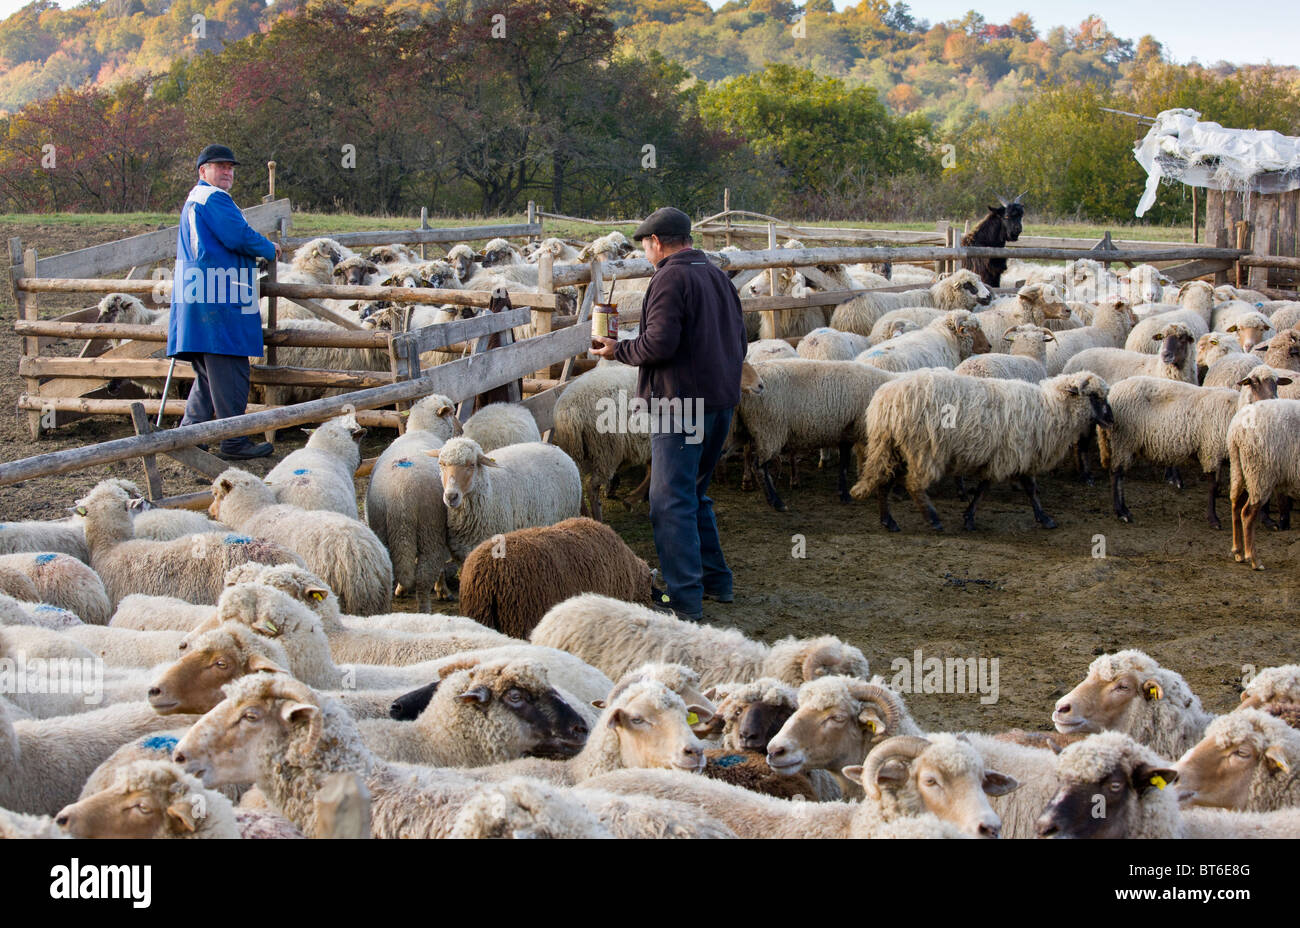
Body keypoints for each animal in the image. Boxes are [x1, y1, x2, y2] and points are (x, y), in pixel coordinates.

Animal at [365, 393, 460, 610]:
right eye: (452, 411)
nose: (461, 430)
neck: (422, 430)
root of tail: (400, 497)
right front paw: (442, 590)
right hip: (430, 528)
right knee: (423, 578)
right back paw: (426, 607)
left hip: (383, 528)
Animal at [851, 369, 1113, 532]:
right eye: (1094, 395)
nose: (1111, 419)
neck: (1050, 409)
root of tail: (884, 401)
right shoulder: (1012, 453)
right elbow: (1011, 488)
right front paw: (1045, 518)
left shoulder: (1006, 455)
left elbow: (1005, 488)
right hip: (921, 448)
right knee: (913, 484)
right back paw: (933, 519)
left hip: (891, 447)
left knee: (884, 482)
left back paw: (889, 521)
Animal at [1098, 366, 1291, 527]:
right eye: (1254, 382)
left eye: (1276, 383)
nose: (1273, 401)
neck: (1235, 410)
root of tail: (1113, 392)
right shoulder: (1211, 449)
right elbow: (1213, 485)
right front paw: (1213, 519)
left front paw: (1267, 520)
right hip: (1123, 440)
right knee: (1116, 473)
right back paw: (1121, 512)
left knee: (1119, 473)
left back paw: (1124, 510)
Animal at [1228, 397, 1300, 569]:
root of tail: (1235, 430)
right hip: (1259, 473)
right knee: (1247, 514)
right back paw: (1254, 560)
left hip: (1240, 470)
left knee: (1236, 505)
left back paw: (1238, 552)